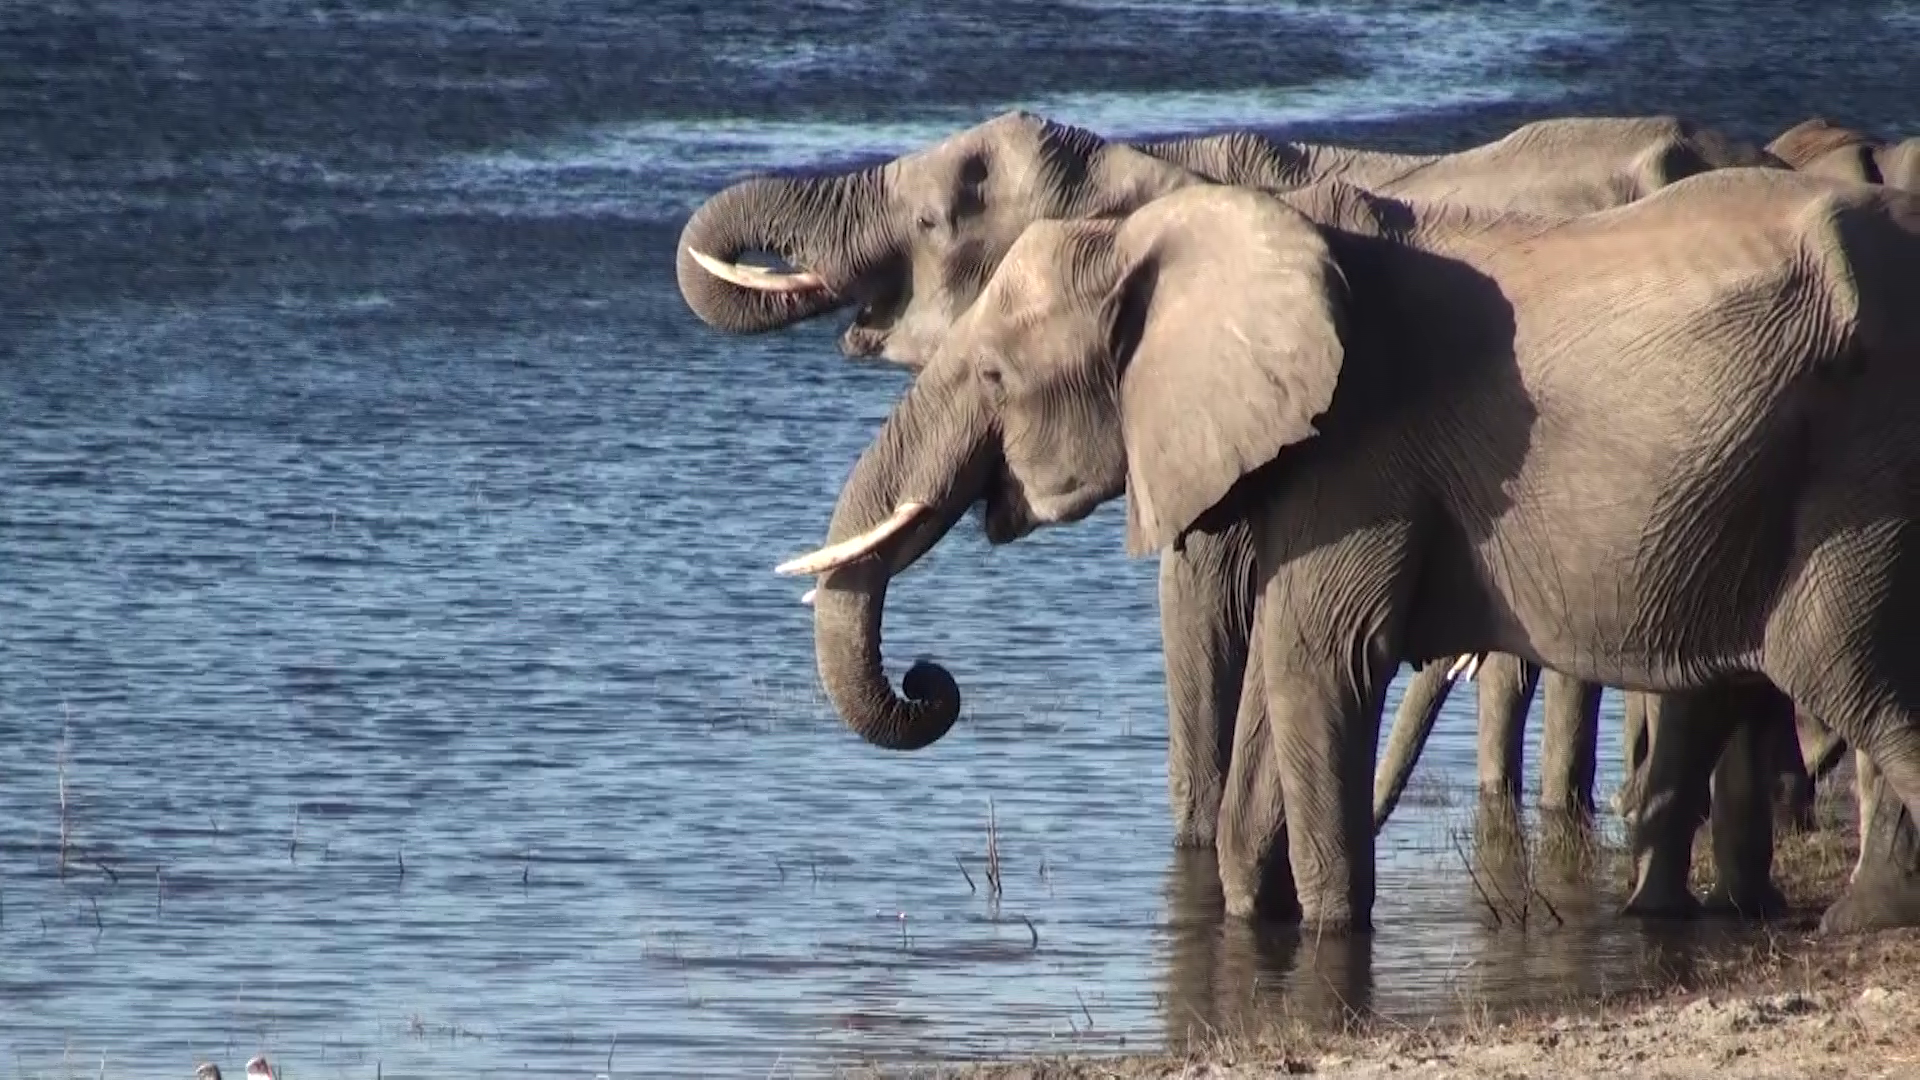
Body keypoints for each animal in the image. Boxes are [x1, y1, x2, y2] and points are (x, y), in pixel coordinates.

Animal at [772, 169, 1920, 933]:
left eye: (996, 379)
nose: (931, 680)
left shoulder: (1363, 449)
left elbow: (1314, 658)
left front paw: (1326, 936)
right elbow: (1286, 674)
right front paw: (1258, 925)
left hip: (1861, 468)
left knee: (1843, 668)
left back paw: (1856, 923)